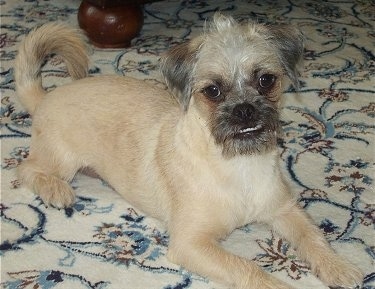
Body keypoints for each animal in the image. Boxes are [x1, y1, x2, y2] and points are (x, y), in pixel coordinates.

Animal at [15, 14, 364, 288]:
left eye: (266, 80)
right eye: (213, 91)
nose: (245, 110)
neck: (238, 164)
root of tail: (45, 96)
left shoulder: (285, 210)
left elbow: (314, 237)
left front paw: (338, 267)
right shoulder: (190, 243)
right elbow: (246, 266)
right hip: (62, 160)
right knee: (27, 169)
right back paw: (55, 189)